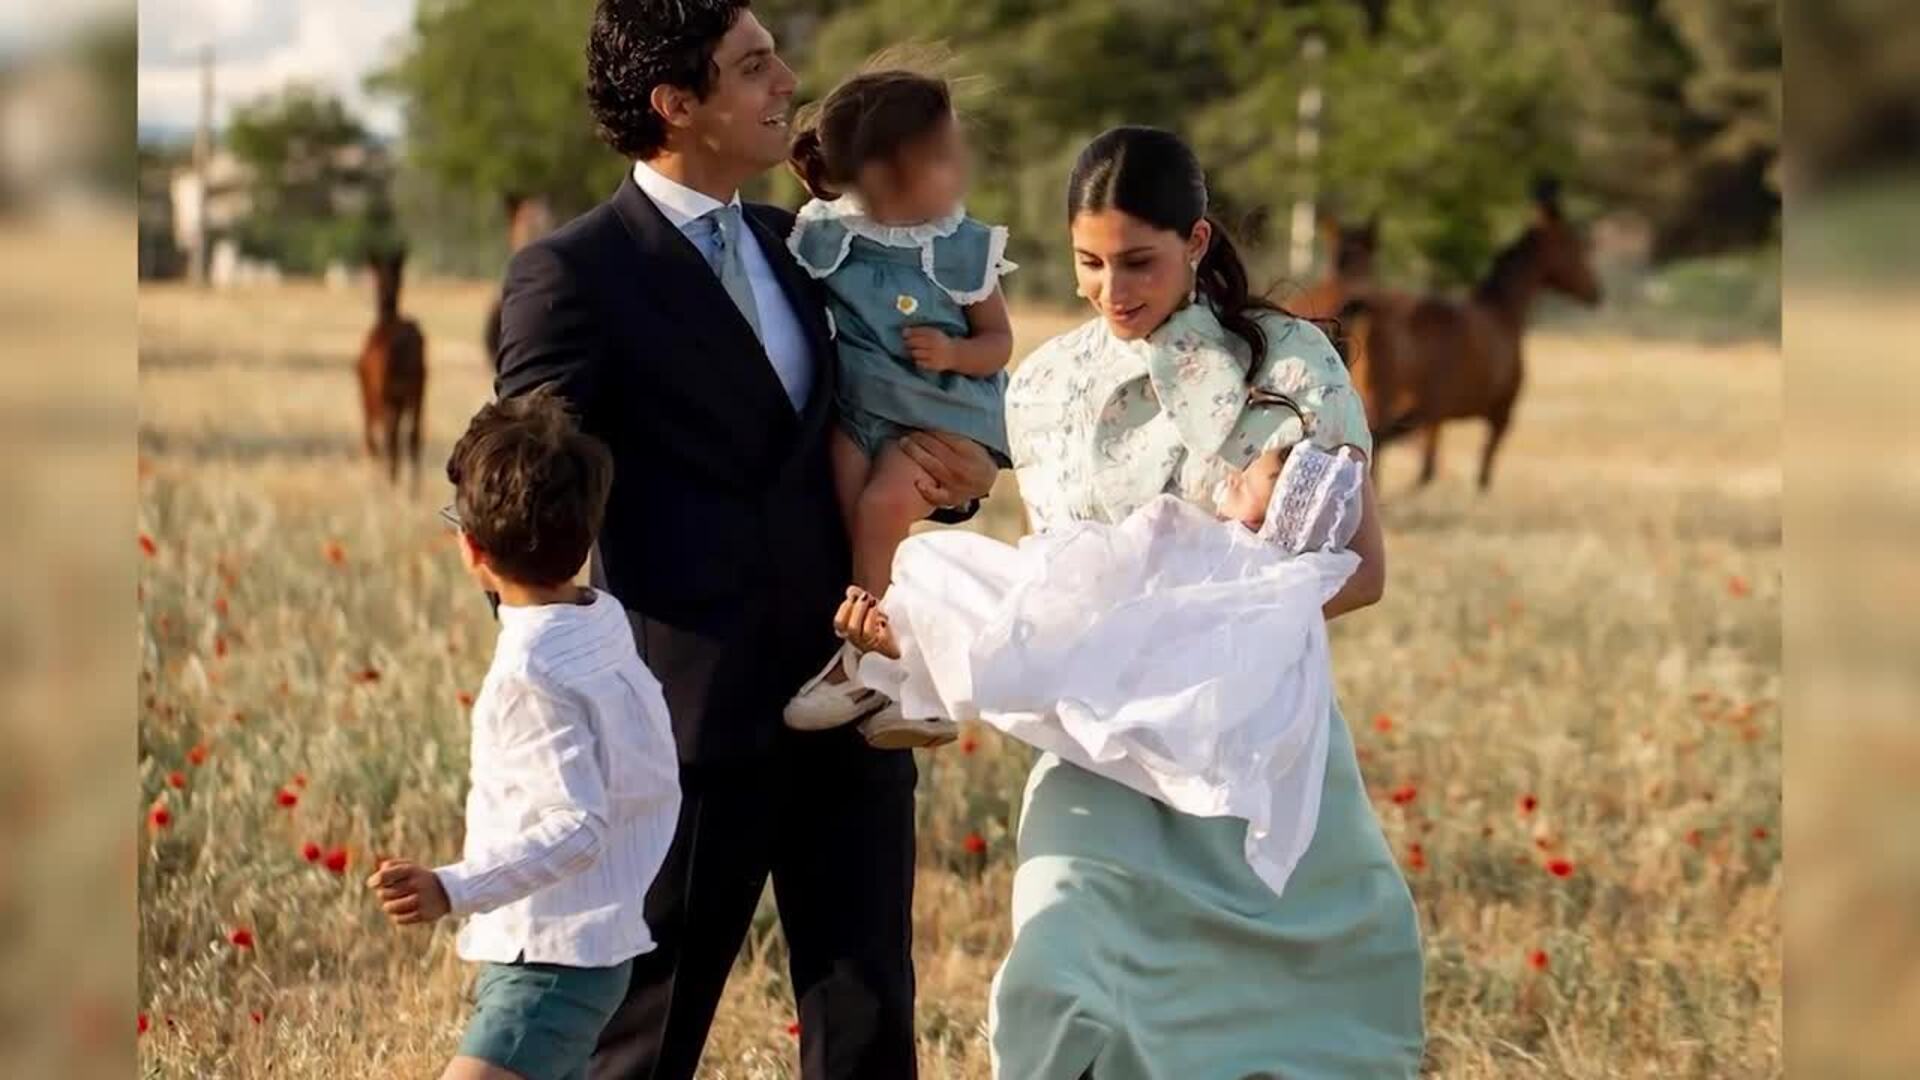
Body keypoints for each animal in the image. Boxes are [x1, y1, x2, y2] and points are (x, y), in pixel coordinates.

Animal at [357, 249, 427, 490]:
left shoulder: (374, 395)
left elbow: (380, 437)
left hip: (385, 395)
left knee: (383, 437)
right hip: (415, 390)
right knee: (411, 436)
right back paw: (409, 488)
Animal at [1354, 178, 1601, 491]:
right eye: (1574, 245)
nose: (1596, 293)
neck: (1502, 312)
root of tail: (1368, 315)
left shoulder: (1436, 418)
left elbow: (1429, 471)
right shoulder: (1499, 416)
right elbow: (1480, 477)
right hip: (1393, 404)